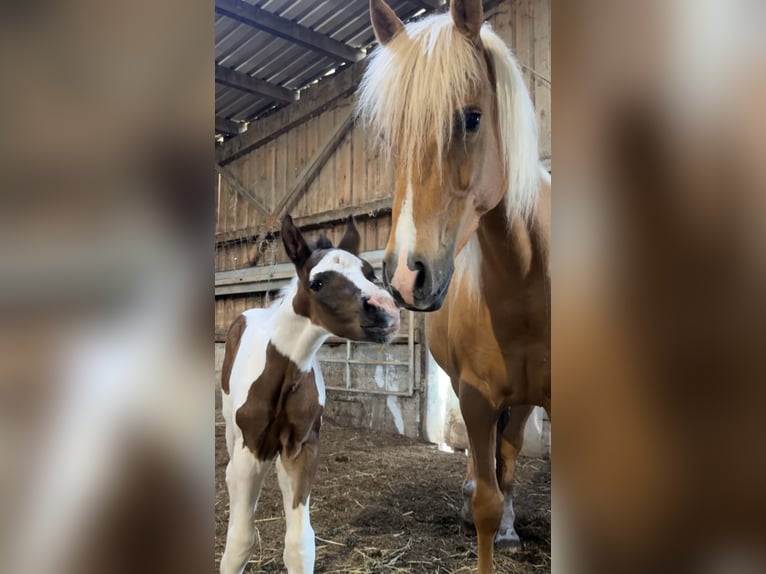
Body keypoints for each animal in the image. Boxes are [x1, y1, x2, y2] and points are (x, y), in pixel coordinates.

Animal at [219, 215, 400, 574]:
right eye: (317, 283)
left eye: (369, 272)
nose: (387, 311)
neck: (284, 374)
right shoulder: (251, 448)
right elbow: (240, 542)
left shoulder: (303, 446)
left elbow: (300, 544)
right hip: (231, 426)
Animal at [358, 1, 551, 572]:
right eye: (390, 137)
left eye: (471, 118)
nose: (403, 276)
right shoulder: (476, 396)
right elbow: (486, 496)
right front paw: (482, 515)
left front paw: (506, 527)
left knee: (509, 452)